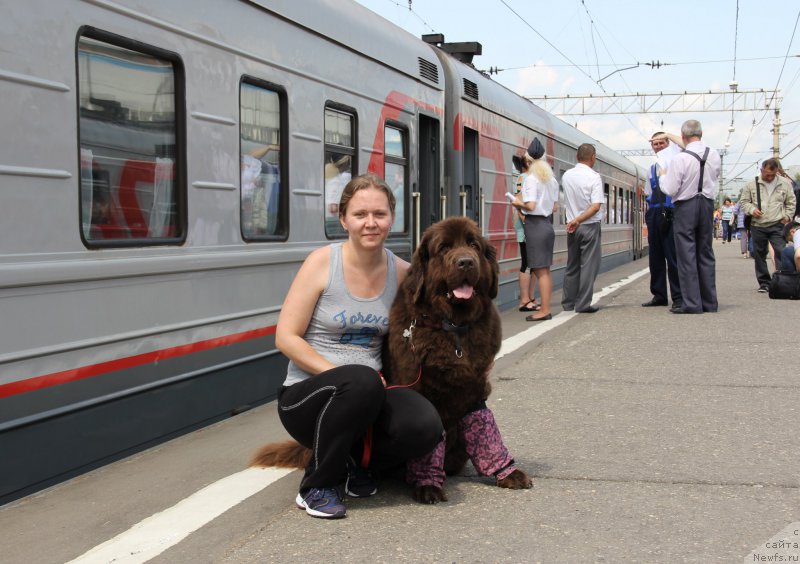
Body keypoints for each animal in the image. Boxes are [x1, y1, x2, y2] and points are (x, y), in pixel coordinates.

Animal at [386, 217, 532, 502]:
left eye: (474, 245)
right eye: (444, 248)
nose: (465, 262)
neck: (453, 328)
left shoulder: (475, 387)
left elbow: (487, 436)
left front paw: (507, 473)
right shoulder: (423, 391)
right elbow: (430, 447)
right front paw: (428, 485)